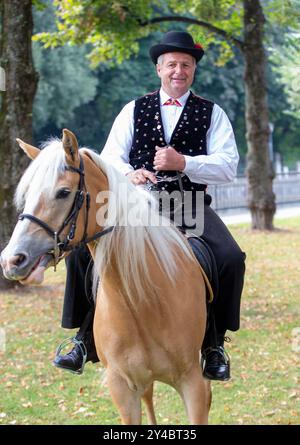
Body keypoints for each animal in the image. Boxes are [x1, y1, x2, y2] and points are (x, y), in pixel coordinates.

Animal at [0, 128, 211, 424]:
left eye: (63, 192)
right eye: (28, 193)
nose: (12, 260)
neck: (143, 302)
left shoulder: (194, 384)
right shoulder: (122, 388)